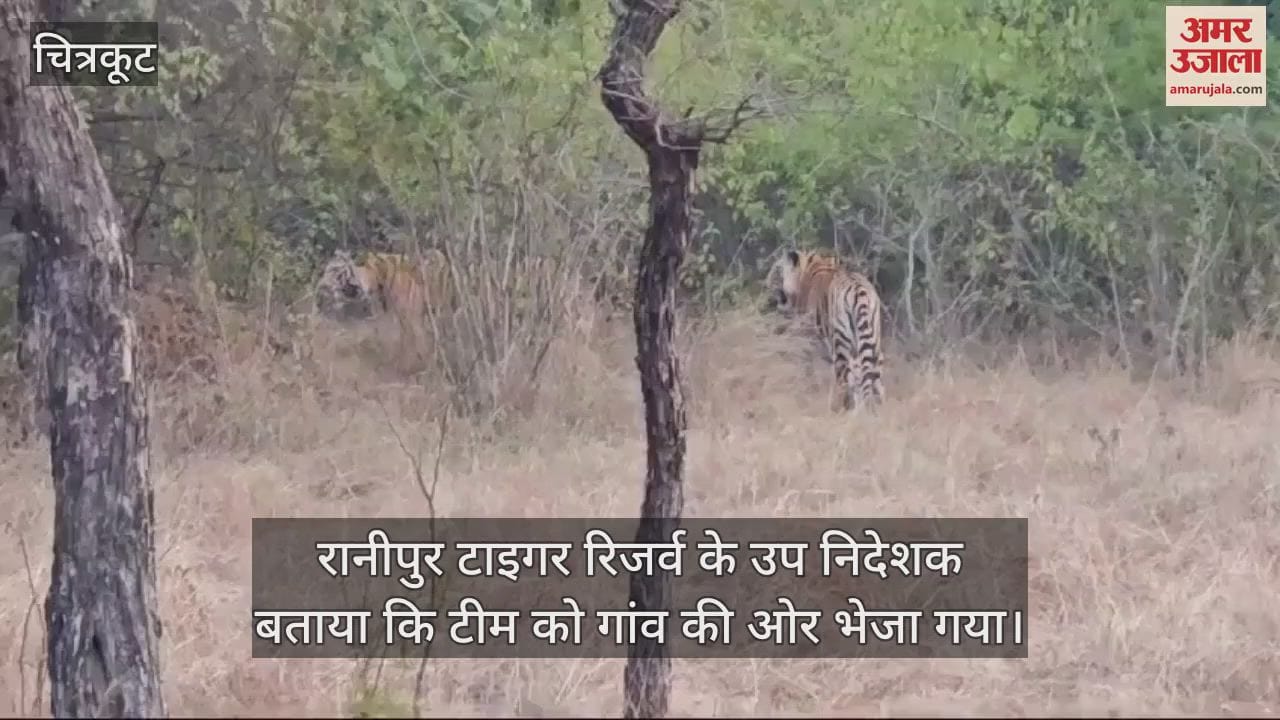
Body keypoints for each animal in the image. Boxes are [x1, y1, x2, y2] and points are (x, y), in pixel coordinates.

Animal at [766, 248, 885, 412]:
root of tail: (859, 290)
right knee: (875, 379)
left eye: (777, 270)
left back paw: (841, 408)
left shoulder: (811, 335)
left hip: (841, 342)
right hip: (874, 340)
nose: (766, 283)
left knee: (846, 378)